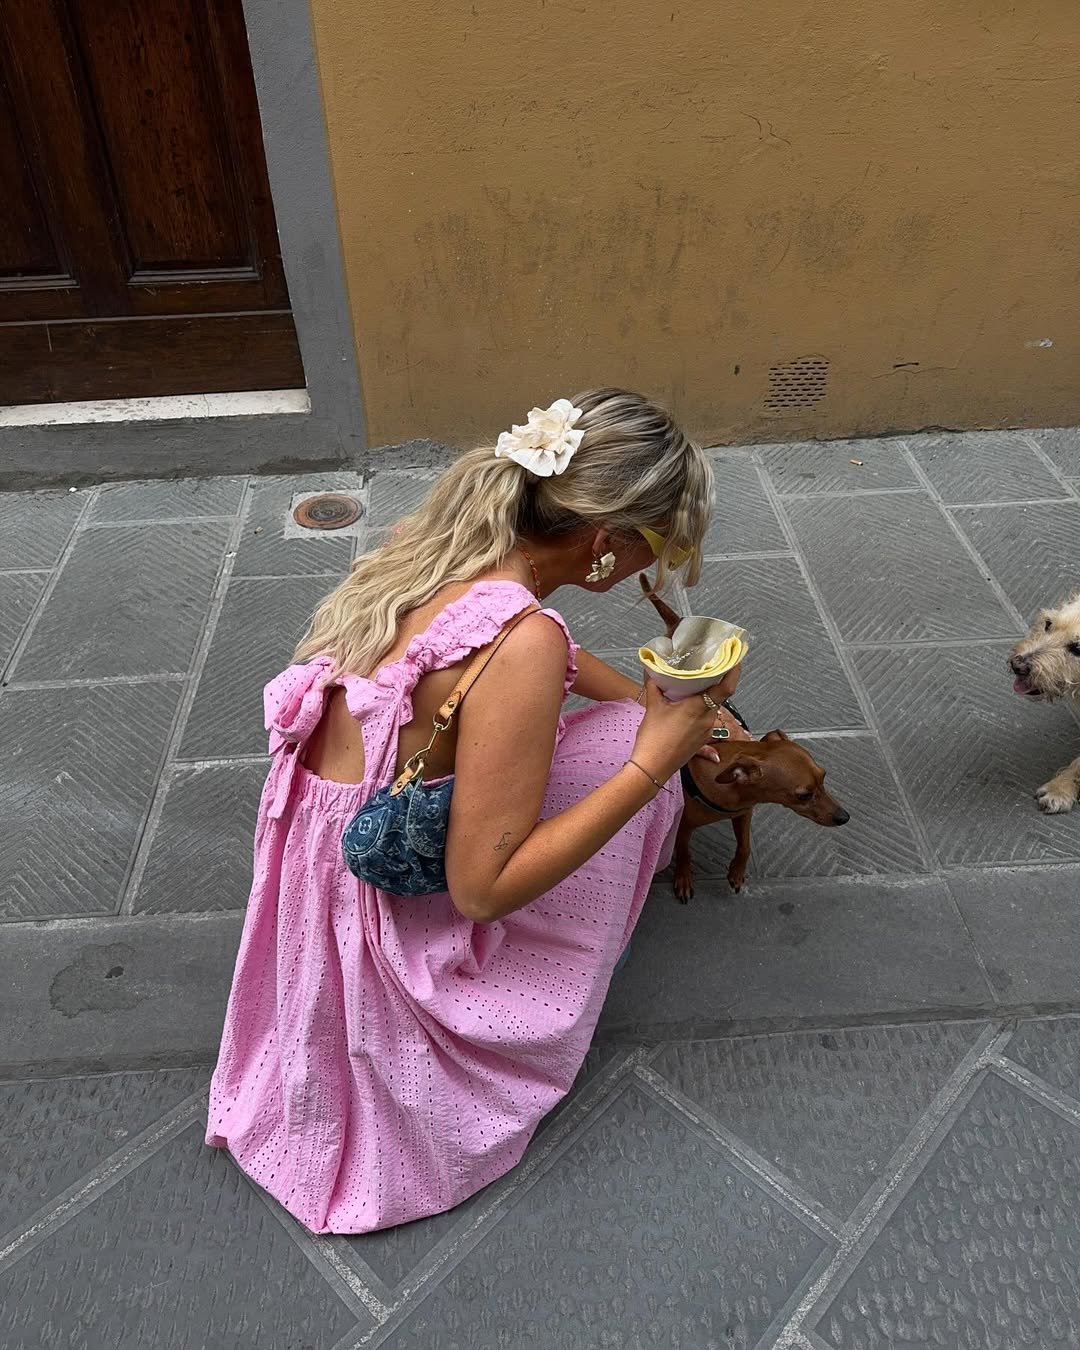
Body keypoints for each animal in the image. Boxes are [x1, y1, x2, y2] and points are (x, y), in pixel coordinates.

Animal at [637, 575, 847, 901]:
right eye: (803, 794)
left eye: (824, 777)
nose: (844, 817)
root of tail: (678, 624)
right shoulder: (683, 828)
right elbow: (684, 853)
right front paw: (683, 878)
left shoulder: (744, 814)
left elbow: (745, 846)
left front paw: (736, 872)